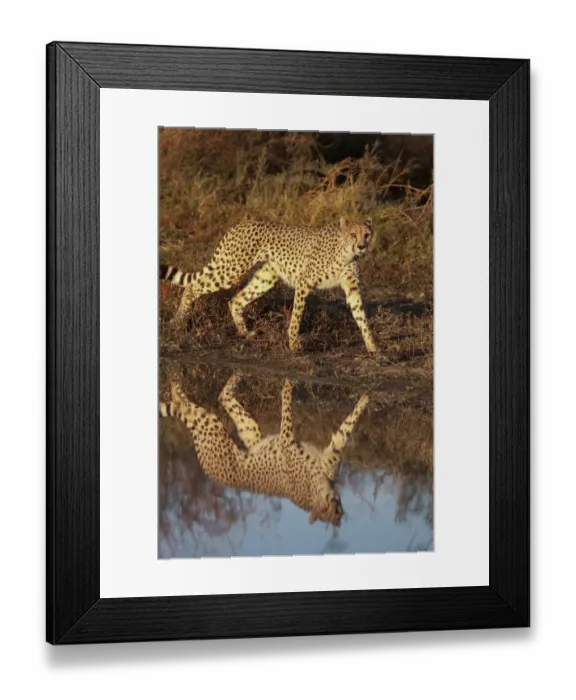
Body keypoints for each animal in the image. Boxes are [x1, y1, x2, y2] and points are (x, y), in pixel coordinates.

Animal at [159, 373, 370, 526]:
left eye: (336, 514)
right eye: (330, 512)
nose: (340, 513)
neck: (316, 490)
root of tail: (208, 470)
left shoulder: (329, 456)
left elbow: (346, 428)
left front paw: (365, 398)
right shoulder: (286, 440)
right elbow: (287, 404)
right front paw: (288, 383)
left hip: (250, 431)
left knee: (221, 397)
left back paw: (236, 374)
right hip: (212, 426)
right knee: (188, 404)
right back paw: (177, 386)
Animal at [160, 216, 378, 354]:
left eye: (367, 234)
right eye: (353, 234)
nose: (362, 246)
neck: (346, 251)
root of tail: (240, 224)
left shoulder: (352, 288)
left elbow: (361, 316)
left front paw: (373, 348)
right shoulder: (304, 283)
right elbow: (296, 317)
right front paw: (294, 345)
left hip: (266, 277)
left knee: (235, 300)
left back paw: (245, 333)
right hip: (231, 269)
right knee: (193, 286)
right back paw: (178, 322)